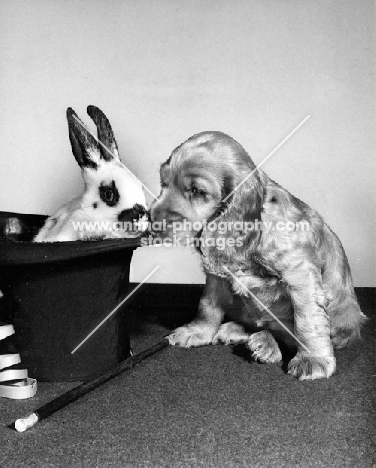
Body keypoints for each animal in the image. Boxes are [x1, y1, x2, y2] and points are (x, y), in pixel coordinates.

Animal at [151, 130, 368, 378]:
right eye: (163, 183)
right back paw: (239, 333)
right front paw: (198, 331)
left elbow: (307, 319)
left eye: (197, 191)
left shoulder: (301, 274)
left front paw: (313, 359)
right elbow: (208, 305)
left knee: (283, 332)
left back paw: (265, 344)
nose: (151, 220)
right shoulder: (216, 273)